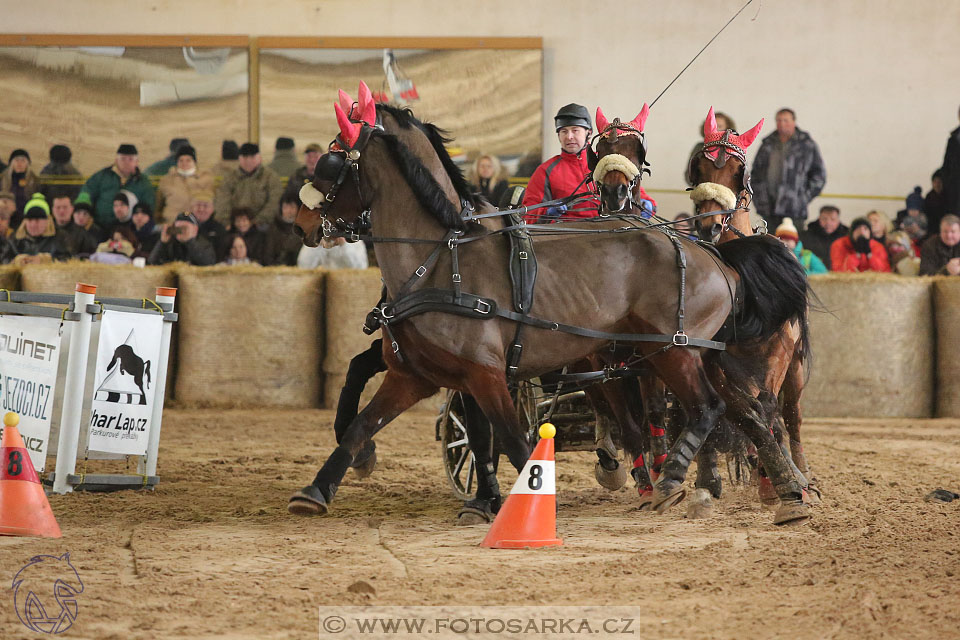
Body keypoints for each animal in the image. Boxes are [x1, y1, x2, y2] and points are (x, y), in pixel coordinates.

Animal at [290, 85, 808, 524]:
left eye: (334, 160)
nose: (300, 224)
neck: (440, 258)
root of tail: (715, 253)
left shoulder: (484, 375)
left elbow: (512, 440)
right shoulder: (415, 375)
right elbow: (363, 425)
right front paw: (317, 489)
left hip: (673, 351)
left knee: (709, 407)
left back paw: (681, 481)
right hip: (676, 355)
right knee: (738, 411)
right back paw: (776, 490)